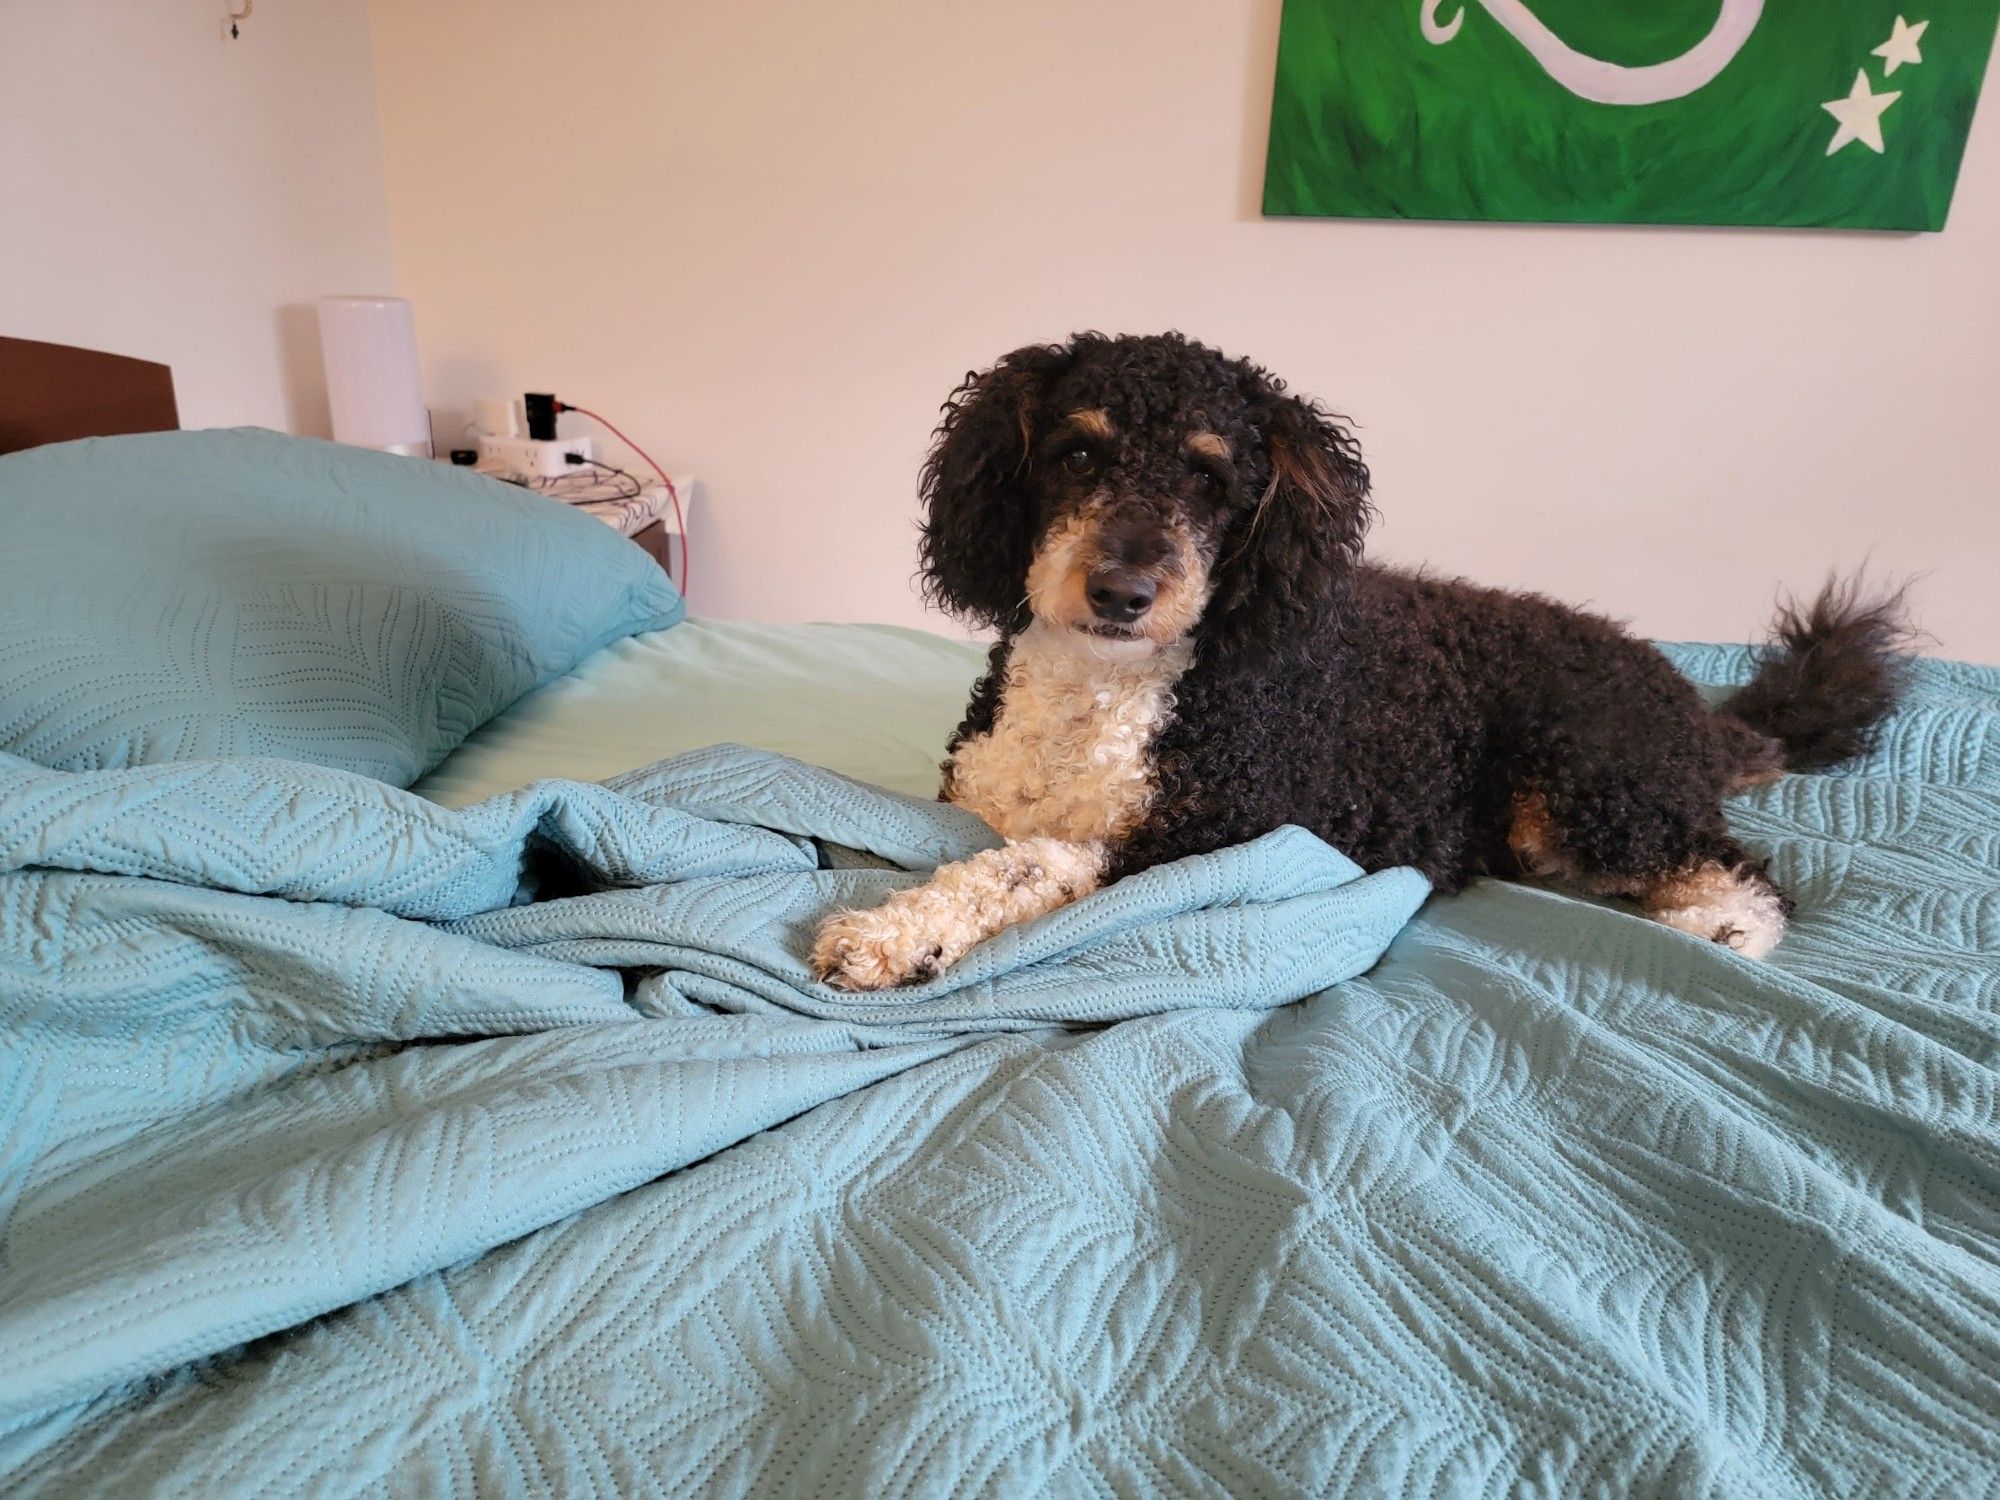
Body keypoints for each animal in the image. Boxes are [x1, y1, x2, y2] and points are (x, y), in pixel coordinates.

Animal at [808, 332, 1904, 988]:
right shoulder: (971, 798)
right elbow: (982, 843)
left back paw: (1720, 931)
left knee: (1740, 869)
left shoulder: (1217, 835)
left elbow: (1027, 863)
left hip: (1588, 782)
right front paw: (898, 925)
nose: (1120, 592)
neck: (1102, 691)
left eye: (1211, 481)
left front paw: (892, 931)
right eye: (1076, 454)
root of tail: (1693, 708)